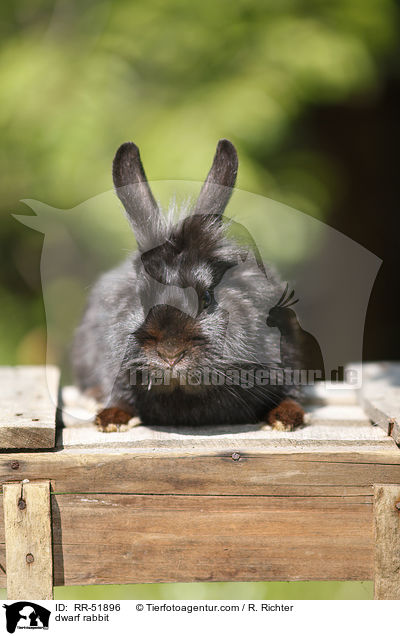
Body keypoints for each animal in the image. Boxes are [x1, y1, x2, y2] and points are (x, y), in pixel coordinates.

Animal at [72, 138, 304, 428]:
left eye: (206, 298)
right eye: (142, 298)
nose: (170, 354)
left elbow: (292, 395)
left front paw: (285, 418)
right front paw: (110, 419)